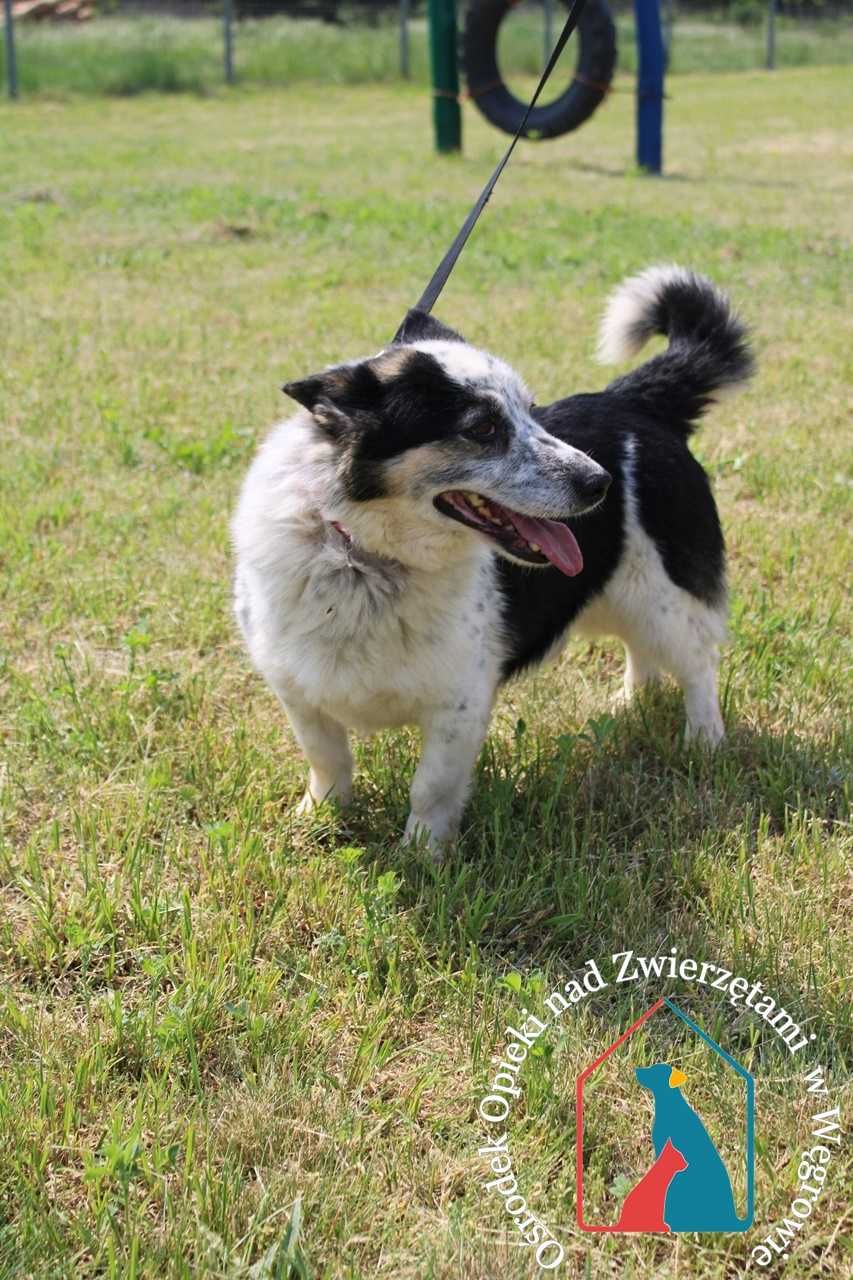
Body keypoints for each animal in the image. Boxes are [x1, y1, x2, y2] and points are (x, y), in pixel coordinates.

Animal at [229, 262, 747, 849]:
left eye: (530, 411)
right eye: (482, 428)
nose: (601, 483)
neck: (363, 557)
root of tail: (634, 401)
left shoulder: (460, 702)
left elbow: (430, 788)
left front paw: (423, 853)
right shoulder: (300, 693)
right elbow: (327, 761)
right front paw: (317, 817)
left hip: (666, 596)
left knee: (697, 664)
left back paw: (703, 740)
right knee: (643, 650)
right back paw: (629, 702)